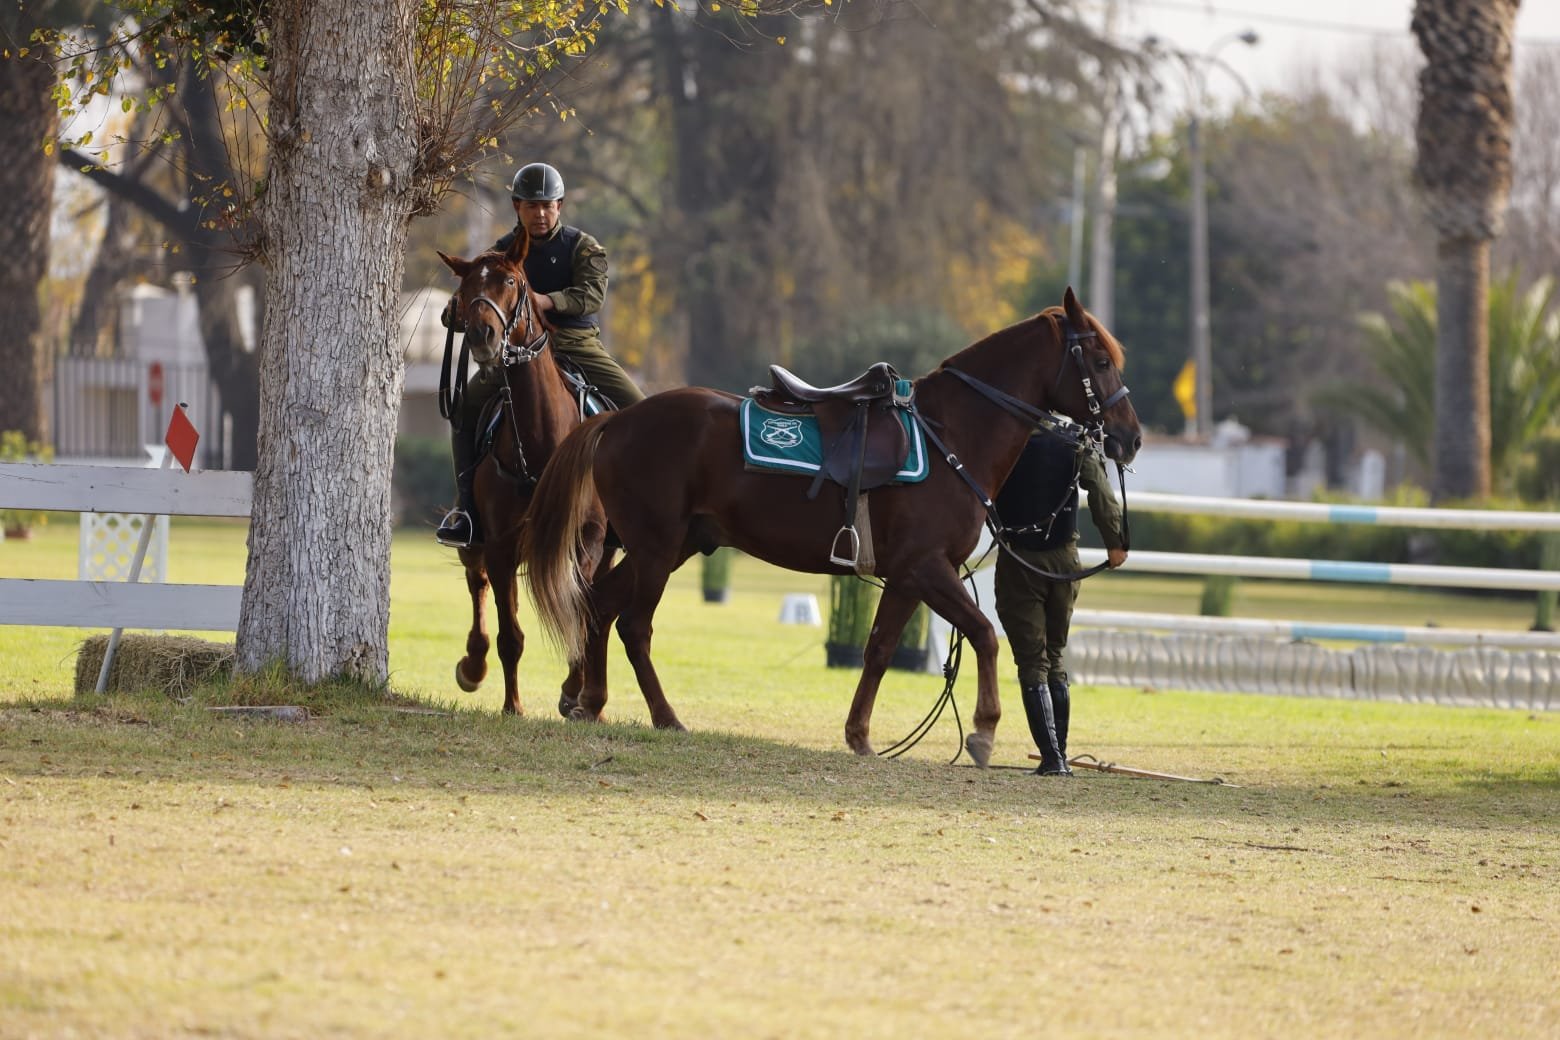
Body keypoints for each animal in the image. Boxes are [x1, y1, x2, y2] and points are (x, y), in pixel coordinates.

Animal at [435, 234, 612, 715]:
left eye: (511, 282)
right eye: (465, 289)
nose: (482, 335)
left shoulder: (586, 542)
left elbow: (580, 610)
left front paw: (574, 691)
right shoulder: (499, 545)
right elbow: (509, 634)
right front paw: (512, 705)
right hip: (474, 538)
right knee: (475, 582)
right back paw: (472, 666)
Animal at [520, 287, 1140, 765]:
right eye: (1100, 362)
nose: (1131, 438)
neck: (949, 434)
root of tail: (620, 417)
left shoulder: (907, 577)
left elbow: (880, 648)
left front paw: (859, 735)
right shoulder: (928, 568)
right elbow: (985, 634)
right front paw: (985, 730)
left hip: (673, 547)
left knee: (600, 605)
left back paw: (590, 702)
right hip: (655, 548)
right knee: (633, 625)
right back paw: (664, 715)